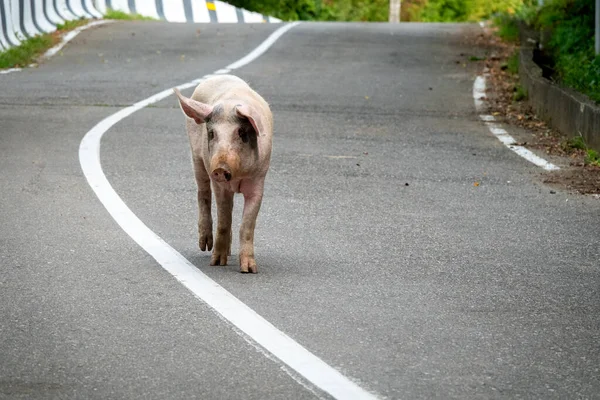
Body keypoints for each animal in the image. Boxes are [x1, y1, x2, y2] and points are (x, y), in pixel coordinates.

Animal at [173, 74, 274, 276]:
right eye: (212, 133)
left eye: (241, 132)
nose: (220, 168)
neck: (238, 176)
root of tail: (217, 76)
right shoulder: (220, 185)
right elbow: (224, 220)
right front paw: (217, 263)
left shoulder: (258, 180)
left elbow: (246, 225)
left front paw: (249, 270)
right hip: (197, 158)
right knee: (203, 194)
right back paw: (205, 246)